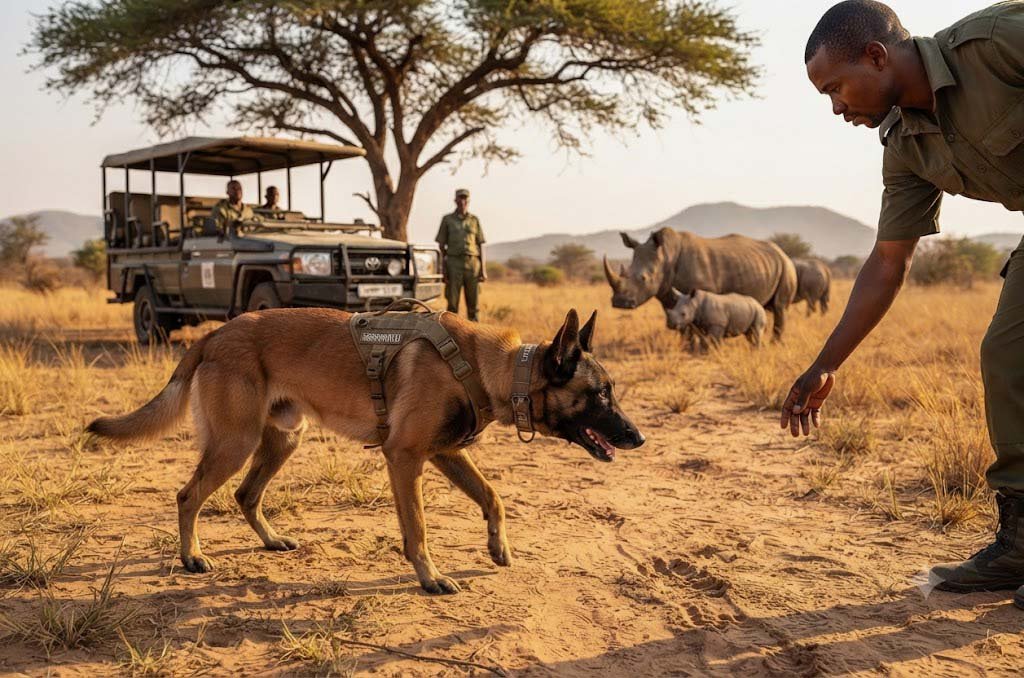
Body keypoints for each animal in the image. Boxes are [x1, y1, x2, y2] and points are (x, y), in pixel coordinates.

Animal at [604, 229, 798, 339]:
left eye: (643, 278)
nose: (619, 303)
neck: (665, 256)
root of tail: (783, 252)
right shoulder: (666, 291)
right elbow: (681, 322)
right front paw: (685, 346)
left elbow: (693, 325)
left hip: (787, 267)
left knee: (780, 307)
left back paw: (774, 345)